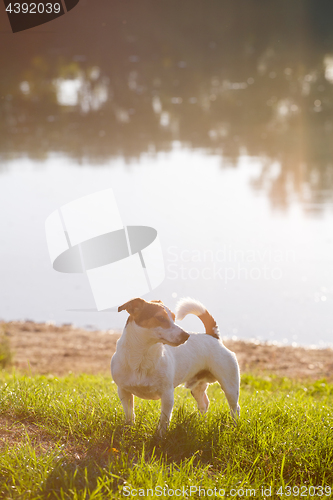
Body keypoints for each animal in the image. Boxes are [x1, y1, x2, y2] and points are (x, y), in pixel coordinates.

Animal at [111, 296, 239, 434]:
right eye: (161, 318)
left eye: (173, 317)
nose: (186, 335)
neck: (142, 356)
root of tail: (213, 336)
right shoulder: (123, 391)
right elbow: (129, 414)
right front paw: (129, 429)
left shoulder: (167, 395)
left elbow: (164, 420)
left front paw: (160, 436)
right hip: (196, 387)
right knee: (204, 404)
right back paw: (202, 423)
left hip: (230, 386)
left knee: (235, 408)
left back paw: (235, 427)